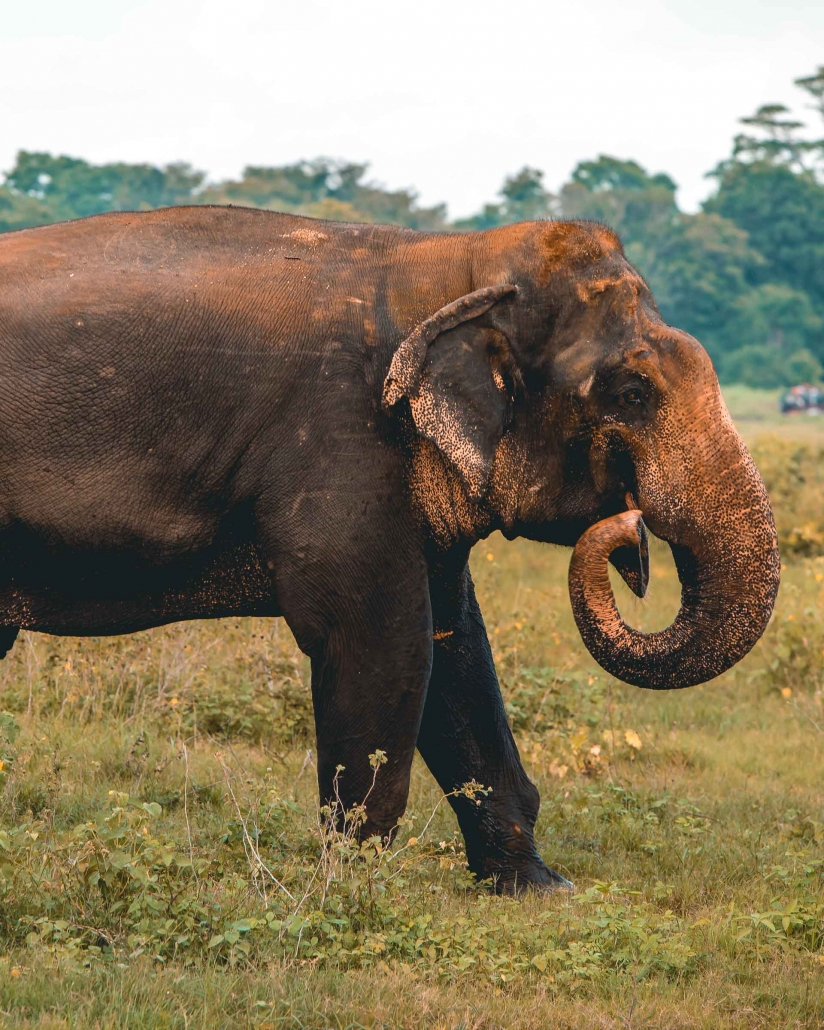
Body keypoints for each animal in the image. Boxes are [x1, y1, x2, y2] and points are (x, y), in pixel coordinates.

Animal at [0, 204, 778, 889]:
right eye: (633, 392)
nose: (629, 532)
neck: (453, 260)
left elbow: (456, 641)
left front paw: (538, 887)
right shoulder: (344, 438)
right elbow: (382, 640)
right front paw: (350, 889)